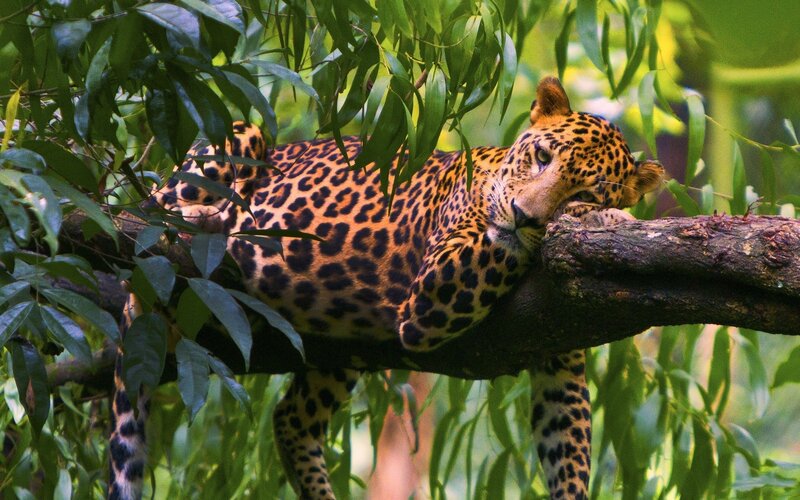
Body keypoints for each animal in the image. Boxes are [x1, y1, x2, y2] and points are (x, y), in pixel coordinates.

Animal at [108, 76, 664, 500]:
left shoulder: (558, 353)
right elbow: (500, 246)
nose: (523, 215)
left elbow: (567, 450)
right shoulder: (437, 286)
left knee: (291, 419)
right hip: (236, 138)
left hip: (338, 345)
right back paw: (204, 219)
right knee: (150, 207)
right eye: (543, 156)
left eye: (584, 187)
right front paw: (606, 219)